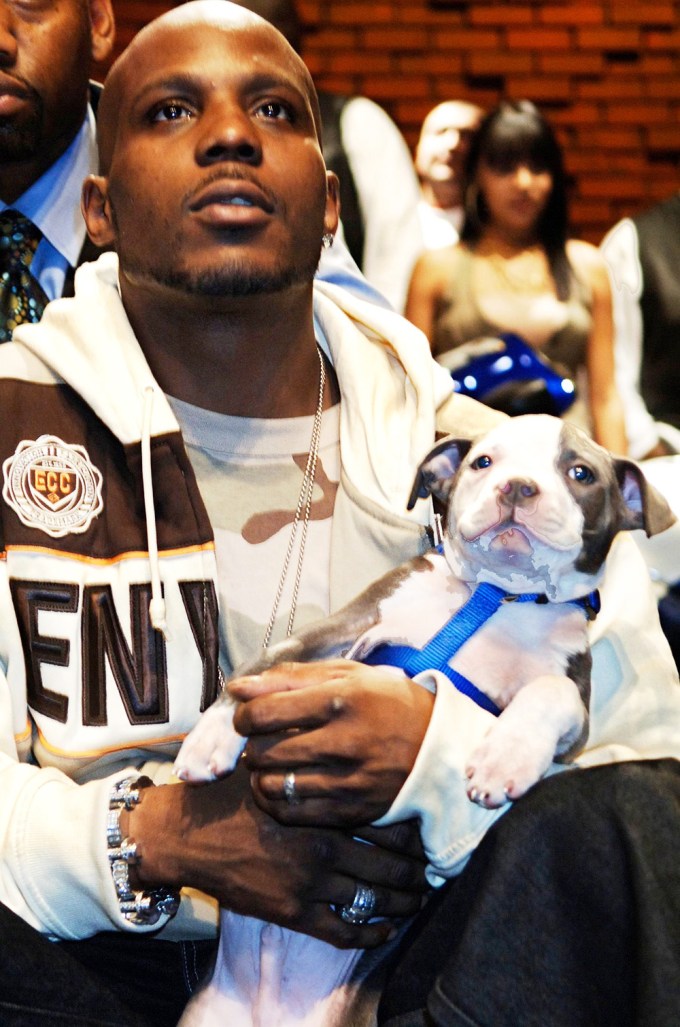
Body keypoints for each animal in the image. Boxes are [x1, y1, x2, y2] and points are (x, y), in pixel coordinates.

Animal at [174, 412, 677, 1022]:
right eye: (483, 462)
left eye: (580, 473)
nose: (517, 488)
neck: (496, 597)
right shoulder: (346, 626)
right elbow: (267, 663)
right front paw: (210, 738)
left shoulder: (574, 712)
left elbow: (551, 690)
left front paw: (503, 760)